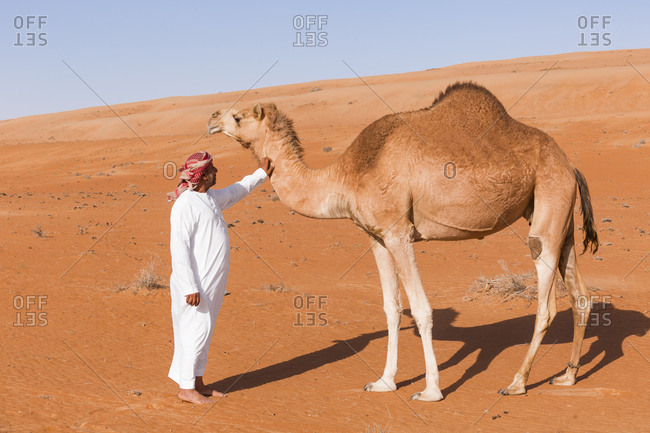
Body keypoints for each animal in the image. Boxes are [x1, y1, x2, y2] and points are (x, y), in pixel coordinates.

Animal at [206, 82, 599, 401]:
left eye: (238, 117)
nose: (211, 119)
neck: (348, 175)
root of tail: (571, 165)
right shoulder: (376, 237)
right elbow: (391, 309)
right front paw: (384, 382)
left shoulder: (399, 233)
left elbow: (422, 309)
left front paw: (431, 390)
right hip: (558, 220)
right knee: (580, 296)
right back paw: (567, 377)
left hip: (548, 204)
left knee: (546, 302)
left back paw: (517, 383)